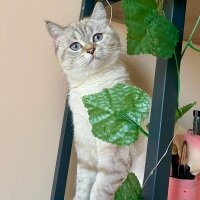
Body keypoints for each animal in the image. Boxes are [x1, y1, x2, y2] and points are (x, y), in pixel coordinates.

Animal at [46, 1, 148, 200]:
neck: (92, 89)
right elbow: (82, 190)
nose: (91, 49)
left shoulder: (114, 155)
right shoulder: (86, 154)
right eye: (75, 46)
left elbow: (99, 191)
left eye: (97, 37)